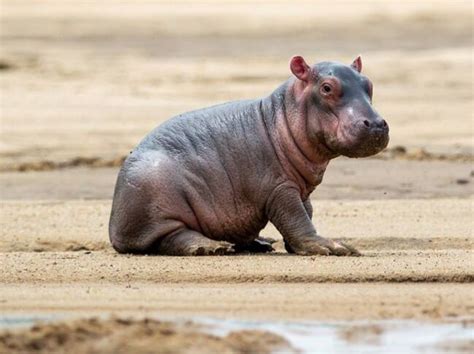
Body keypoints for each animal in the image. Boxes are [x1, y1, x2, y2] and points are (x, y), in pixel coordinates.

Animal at [110, 55, 388, 256]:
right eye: (327, 88)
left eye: (369, 84)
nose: (376, 124)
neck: (281, 116)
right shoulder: (279, 188)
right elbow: (296, 218)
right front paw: (333, 247)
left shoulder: (301, 188)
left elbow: (305, 213)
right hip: (155, 197)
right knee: (171, 236)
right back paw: (212, 247)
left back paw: (260, 243)